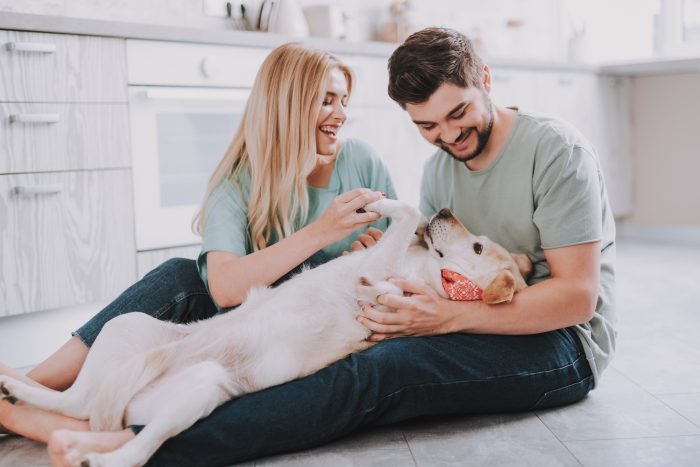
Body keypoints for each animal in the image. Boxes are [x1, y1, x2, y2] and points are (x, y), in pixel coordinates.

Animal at [0, 199, 532, 466]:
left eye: (478, 247)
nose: (445, 212)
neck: (416, 270)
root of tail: (133, 399)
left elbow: (402, 220)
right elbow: (396, 231)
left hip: (200, 388)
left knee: (131, 446)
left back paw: (93, 456)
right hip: (125, 328)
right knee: (76, 403)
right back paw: (14, 389)